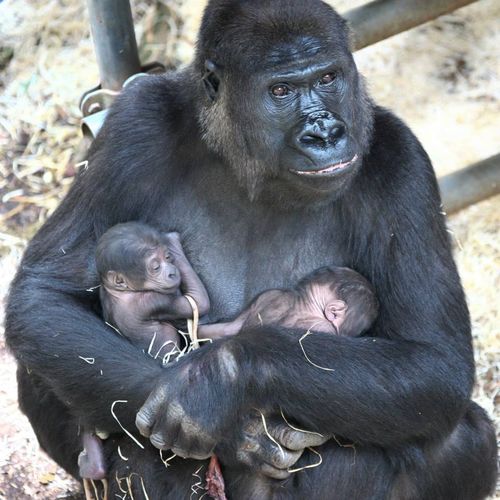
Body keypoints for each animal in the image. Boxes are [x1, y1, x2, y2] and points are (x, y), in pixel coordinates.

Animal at [78, 222, 211, 488]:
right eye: (155, 267)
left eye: (167, 258)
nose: (172, 271)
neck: (123, 292)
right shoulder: (155, 299)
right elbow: (198, 303)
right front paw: (174, 241)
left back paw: (92, 464)